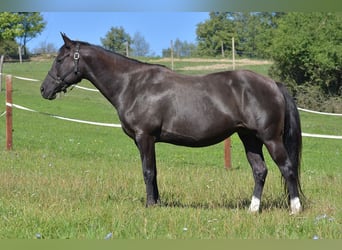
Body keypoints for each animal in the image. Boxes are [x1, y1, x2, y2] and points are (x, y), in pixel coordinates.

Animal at [40, 32, 304, 213]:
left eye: (60, 59)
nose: (44, 89)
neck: (132, 84)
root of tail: (273, 84)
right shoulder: (146, 141)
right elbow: (153, 171)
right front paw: (157, 203)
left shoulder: (145, 137)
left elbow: (147, 171)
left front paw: (149, 205)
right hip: (249, 138)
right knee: (260, 171)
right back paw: (253, 210)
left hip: (270, 138)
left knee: (287, 168)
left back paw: (295, 209)